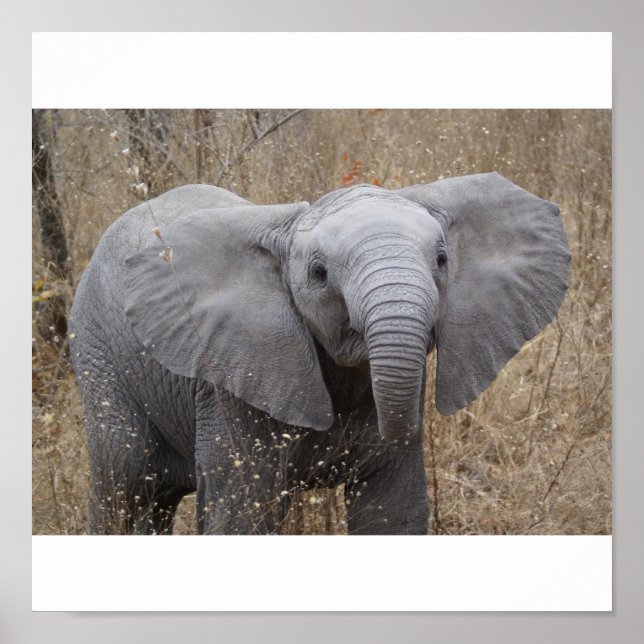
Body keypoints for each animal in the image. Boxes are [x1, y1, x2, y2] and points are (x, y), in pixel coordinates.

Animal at [69, 172, 570, 535]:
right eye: (319, 273)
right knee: (124, 485)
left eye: (443, 261)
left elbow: (392, 510)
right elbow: (245, 513)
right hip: (97, 355)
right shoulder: (231, 380)